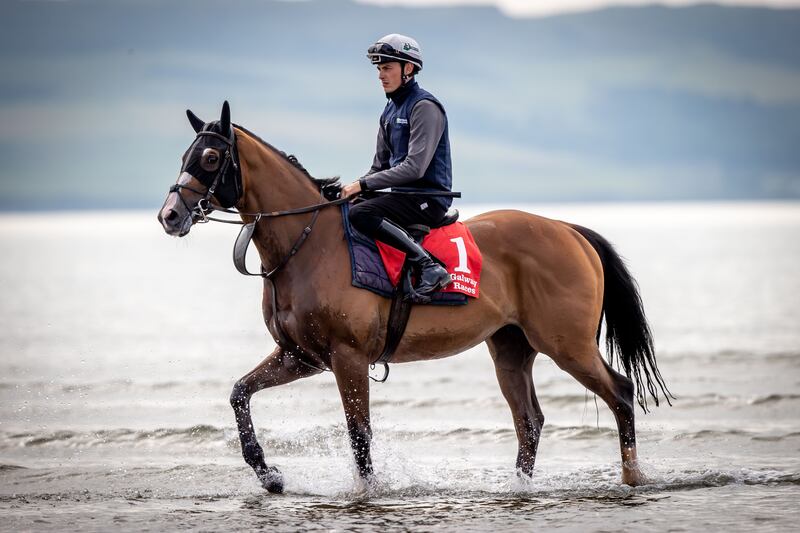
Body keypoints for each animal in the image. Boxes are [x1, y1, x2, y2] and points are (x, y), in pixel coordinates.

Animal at [156, 102, 668, 492]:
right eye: (184, 154)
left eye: (209, 158)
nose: (170, 215)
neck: (307, 243)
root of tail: (568, 229)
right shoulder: (301, 356)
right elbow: (239, 394)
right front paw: (269, 475)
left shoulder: (347, 357)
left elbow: (358, 433)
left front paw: (366, 491)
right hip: (511, 347)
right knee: (530, 421)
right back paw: (520, 487)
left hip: (567, 345)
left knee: (621, 393)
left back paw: (632, 478)